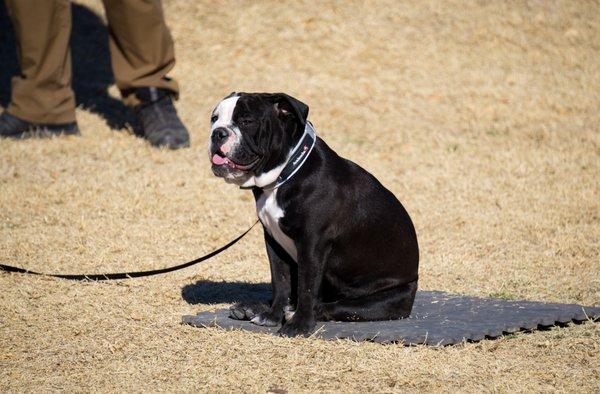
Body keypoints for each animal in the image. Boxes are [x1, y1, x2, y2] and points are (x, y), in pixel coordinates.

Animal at [209, 92, 420, 336]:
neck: (286, 174)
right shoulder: (274, 243)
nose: (218, 132)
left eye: (246, 121)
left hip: (381, 299)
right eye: (214, 119)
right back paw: (254, 308)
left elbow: (307, 286)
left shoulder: (312, 244)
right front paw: (272, 316)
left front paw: (299, 325)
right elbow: (280, 281)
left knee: (332, 306)